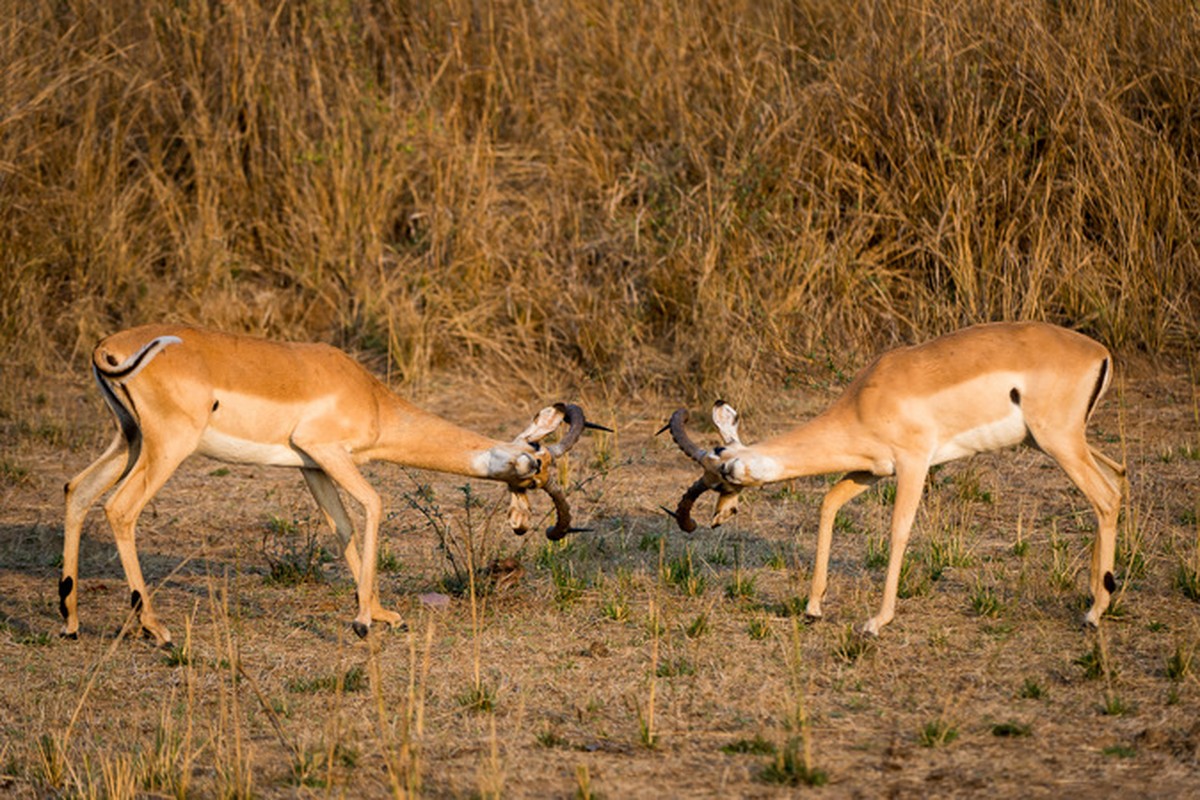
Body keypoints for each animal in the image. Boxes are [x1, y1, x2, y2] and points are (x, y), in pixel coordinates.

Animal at [60, 326, 604, 642]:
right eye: (535, 467)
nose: (521, 526)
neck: (373, 398)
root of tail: (109, 347)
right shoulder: (328, 453)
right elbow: (375, 505)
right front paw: (363, 623)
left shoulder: (313, 468)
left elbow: (343, 527)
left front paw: (380, 614)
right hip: (168, 446)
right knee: (120, 508)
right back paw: (155, 627)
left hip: (129, 440)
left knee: (78, 490)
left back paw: (70, 621)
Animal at [667, 321, 1123, 633]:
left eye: (722, 472)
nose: (719, 516)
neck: (866, 398)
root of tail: (1099, 351)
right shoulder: (870, 471)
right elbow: (828, 503)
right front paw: (813, 607)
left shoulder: (914, 464)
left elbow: (898, 530)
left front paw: (875, 622)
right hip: (1055, 442)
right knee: (1118, 479)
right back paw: (1101, 592)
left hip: (1058, 442)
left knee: (1105, 496)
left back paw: (1094, 613)